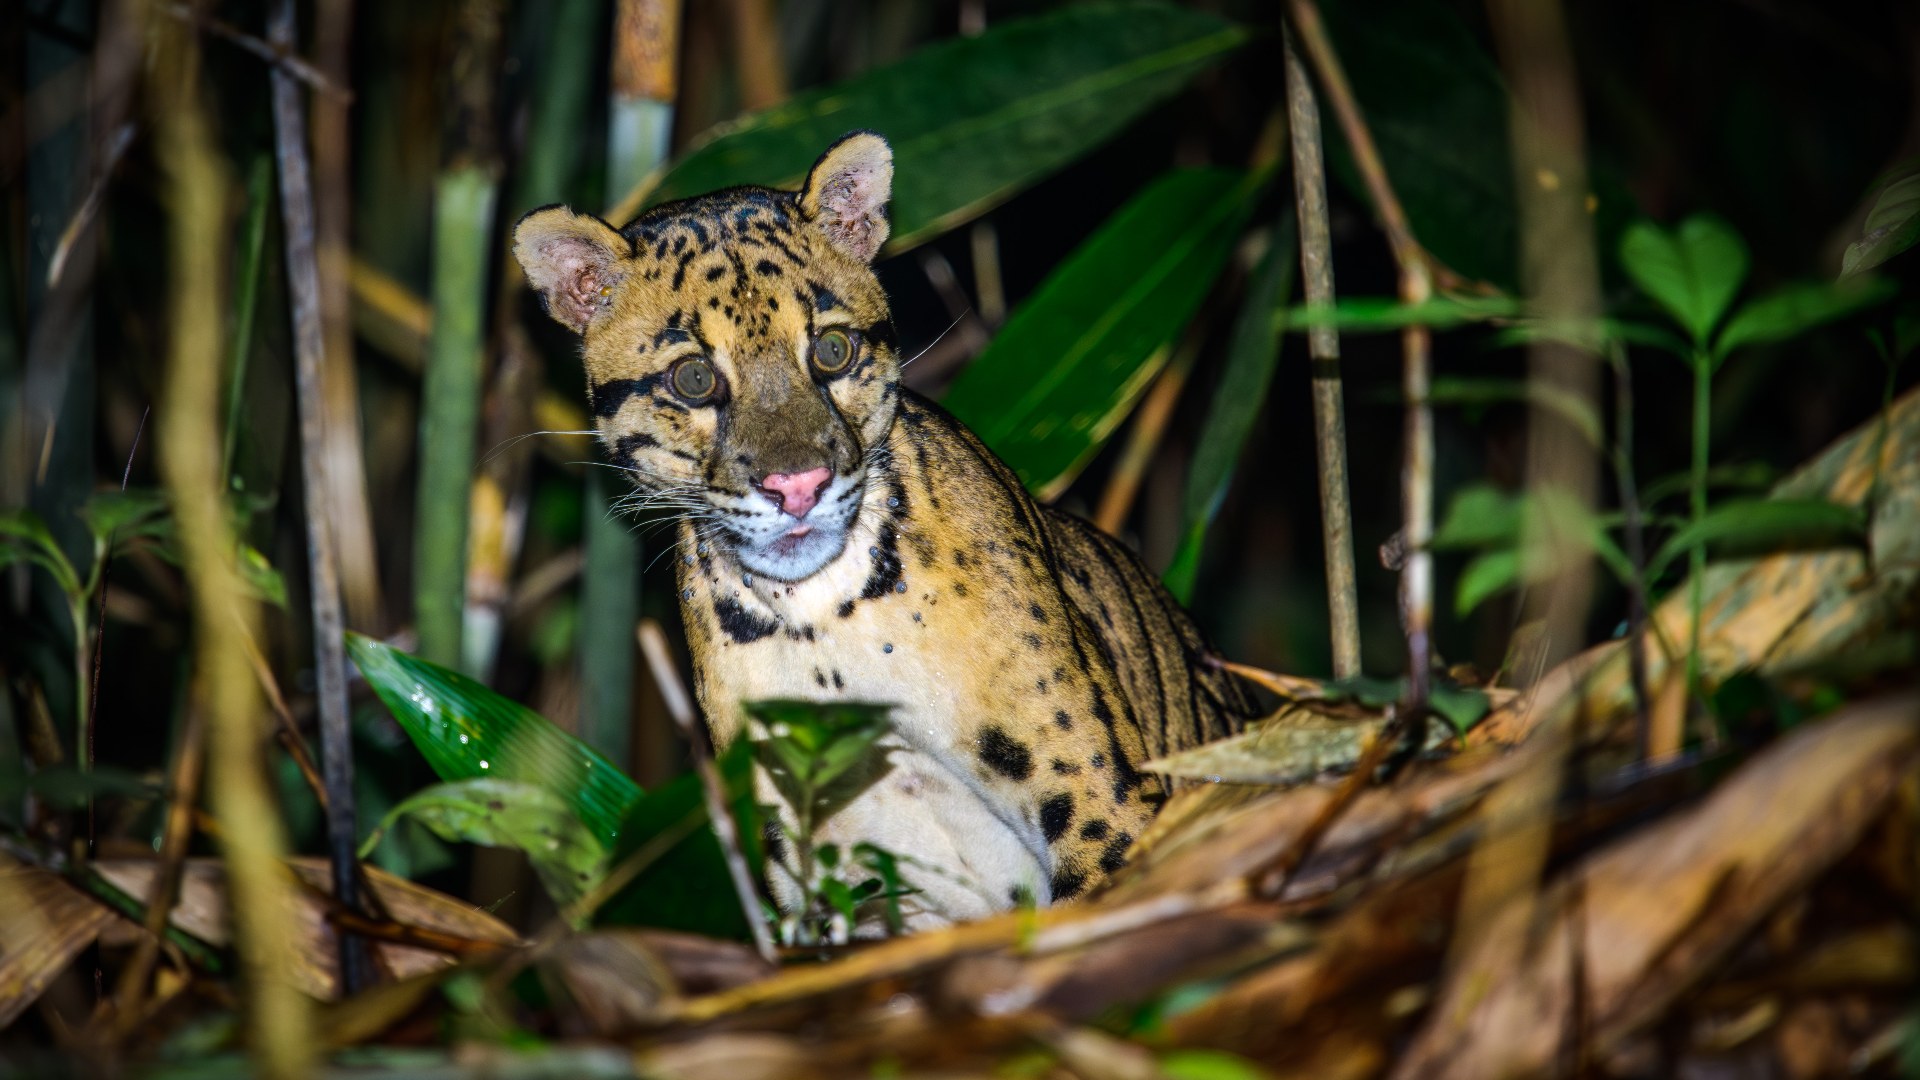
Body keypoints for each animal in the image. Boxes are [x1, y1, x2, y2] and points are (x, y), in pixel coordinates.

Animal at [513, 131, 1257, 935]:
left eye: (832, 351)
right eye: (693, 380)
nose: (797, 485)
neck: (822, 622)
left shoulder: (1100, 805)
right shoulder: (824, 877)